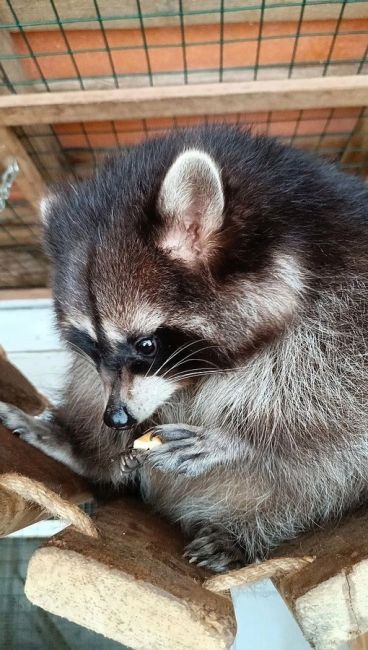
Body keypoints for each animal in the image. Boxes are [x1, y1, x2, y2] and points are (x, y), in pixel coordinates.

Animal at [0, 125, 368, 568]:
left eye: (146, 345)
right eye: (90, 344)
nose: (117, 419)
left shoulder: (346, 288)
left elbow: (339, 399)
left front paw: (239, 441)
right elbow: (91, 378)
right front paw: (90, 442)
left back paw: (250, 526)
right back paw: (87, 452)